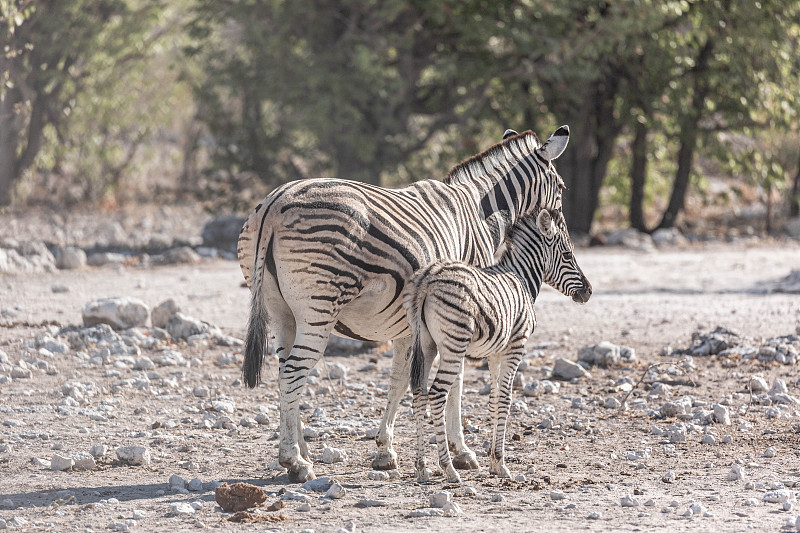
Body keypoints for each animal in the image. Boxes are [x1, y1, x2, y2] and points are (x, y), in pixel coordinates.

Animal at [406, 208, 592, 482]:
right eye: (568, 254)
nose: (589, 291)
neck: (522, 279)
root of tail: (428, 279)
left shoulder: (495, 353)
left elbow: (494, 399)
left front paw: (493, 462)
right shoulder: (516, 346)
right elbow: (505, 398)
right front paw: (501, 463)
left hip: (425, 344)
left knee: (419, 393)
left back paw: (422, 468)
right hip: (453, 345)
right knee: (438, 394)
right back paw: (448, 468)